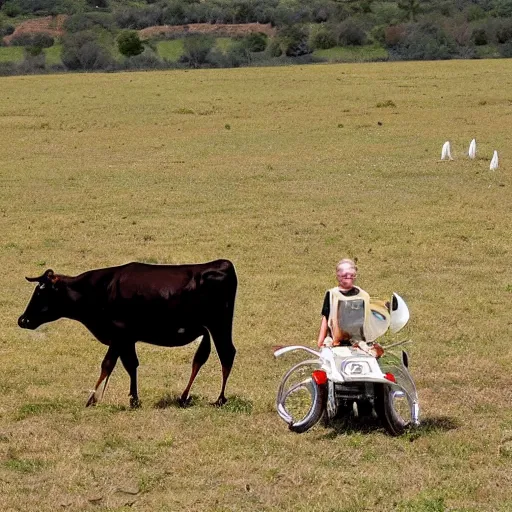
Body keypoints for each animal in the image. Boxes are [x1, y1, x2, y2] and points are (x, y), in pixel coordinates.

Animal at [18, 260, 238, 408]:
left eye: (41, 292)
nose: (22, 320)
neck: (100, 290)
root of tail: (223, 264)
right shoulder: (127, 339)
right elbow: (130, 365)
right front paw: (133, 399)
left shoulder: (118, 335)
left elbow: (108, 364)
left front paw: (92, 398)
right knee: (204, 359)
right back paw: (185, 396)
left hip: (219, 326)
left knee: (226, 354)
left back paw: (219, 399)